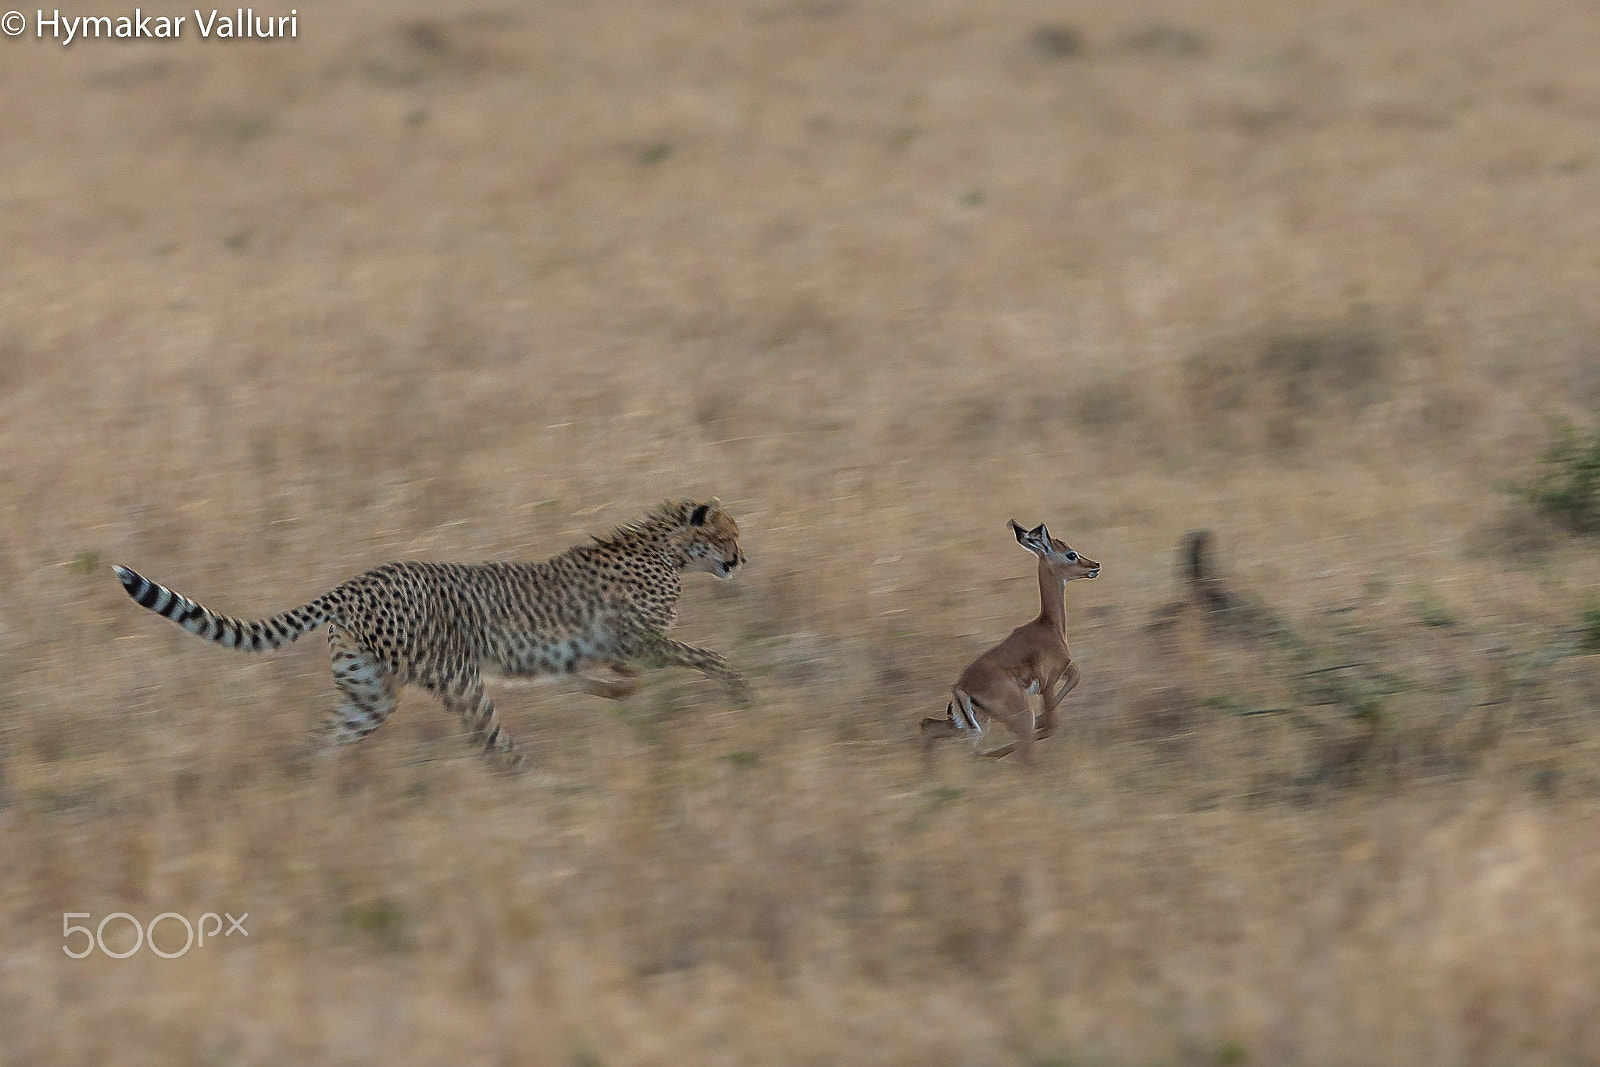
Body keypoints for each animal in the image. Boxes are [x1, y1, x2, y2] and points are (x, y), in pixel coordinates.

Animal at [112, 495, 748, 771]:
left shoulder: (606, 647)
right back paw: (532, 783)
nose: (742, 560)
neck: (667, 550)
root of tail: (358, 581)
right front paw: (743, 689)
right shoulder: (641, 639)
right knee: (490, 746)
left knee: (323, 740)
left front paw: (611, 691)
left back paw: (306, 794)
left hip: (367, 695)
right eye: (727, 535)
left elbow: (605, 676)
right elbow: (703, 656)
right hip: (456, 676)